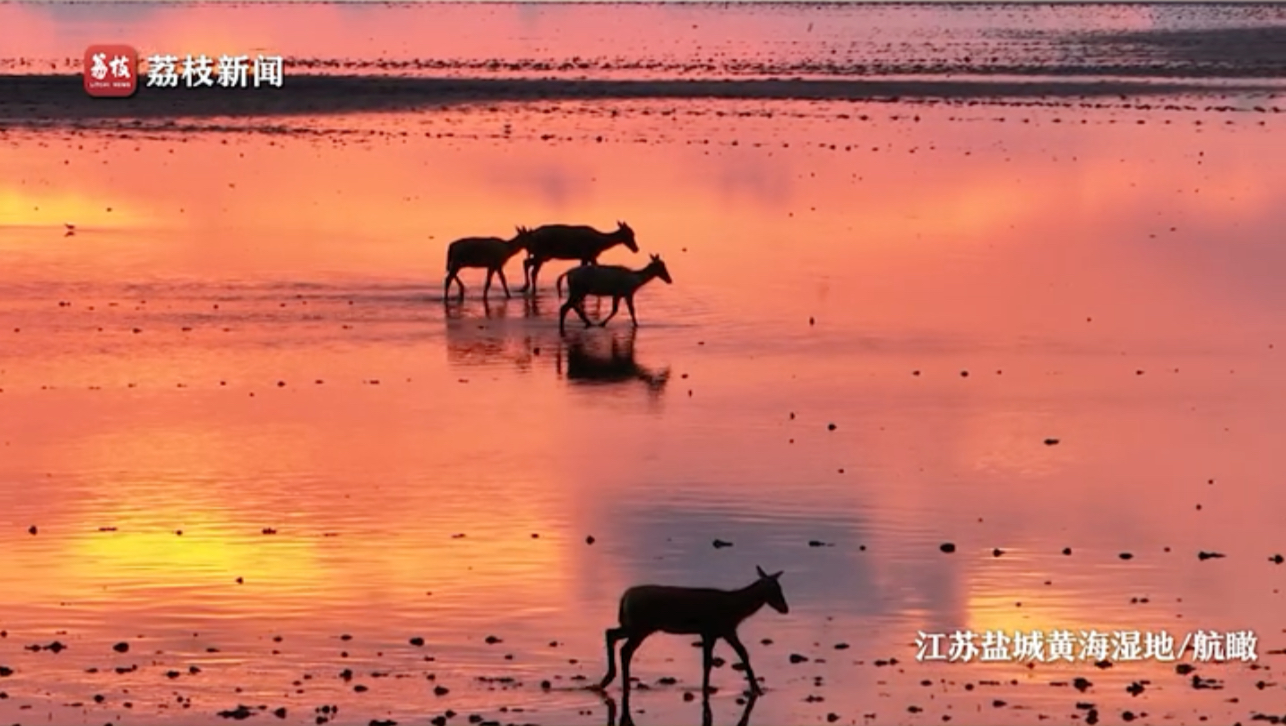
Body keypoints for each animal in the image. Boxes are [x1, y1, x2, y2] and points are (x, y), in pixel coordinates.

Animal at [596, 565, 787, 693]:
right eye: (775, 589)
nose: (785, 608)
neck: (735, 610)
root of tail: (624, 598)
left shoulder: (715, 631)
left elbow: (719, 658)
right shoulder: (719, 628)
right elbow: (733, 655)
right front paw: (756, 689)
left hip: (633, 624)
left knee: (611, 634)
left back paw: (607, 680)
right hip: (641, 625)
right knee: (625, 649)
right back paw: (621, 683)